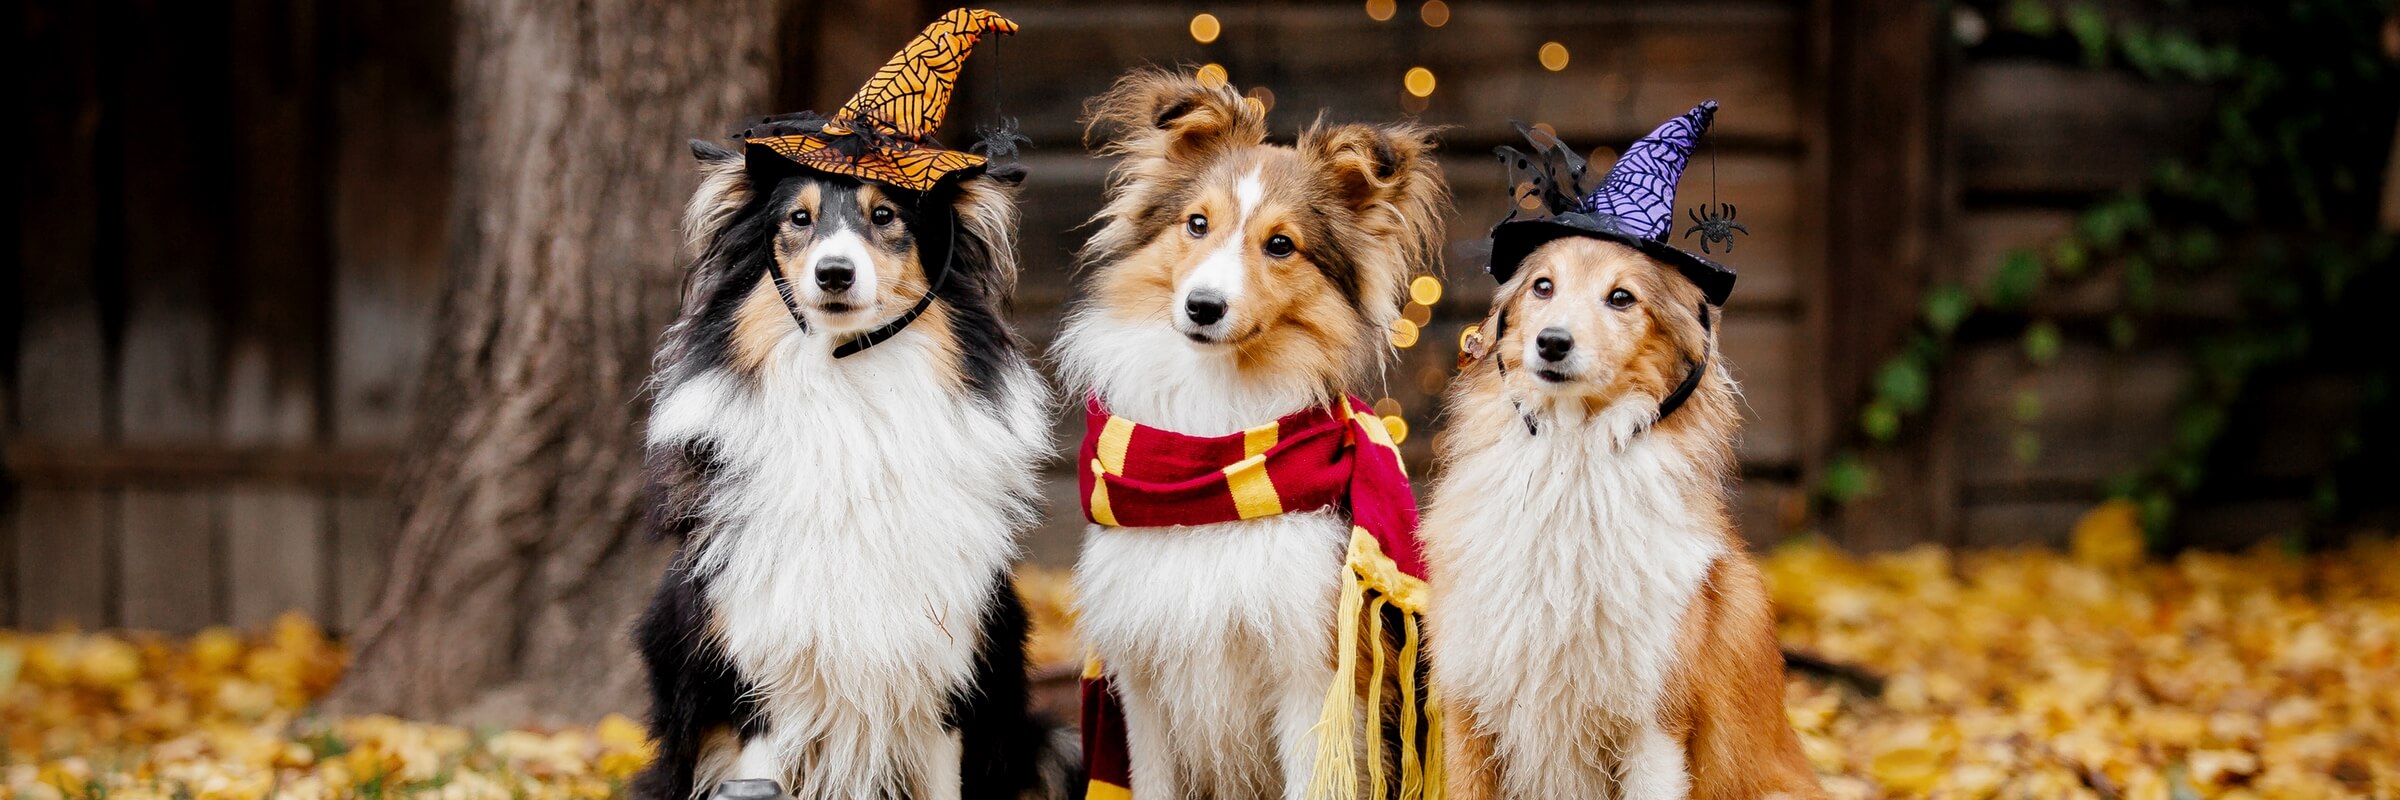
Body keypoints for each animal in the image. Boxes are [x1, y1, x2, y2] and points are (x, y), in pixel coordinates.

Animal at [633, 138, 1065, 797]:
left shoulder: (948, 683)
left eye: (884, 215)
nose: (833, 272)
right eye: (798, 219)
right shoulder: (752, 689)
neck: (851, 395)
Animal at [1420, 234, 1814, 792]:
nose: (1552, 342)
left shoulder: (1656, 729)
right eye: (1543, 285)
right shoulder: (1466, 712)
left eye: (1622, 297)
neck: (1571, 464)